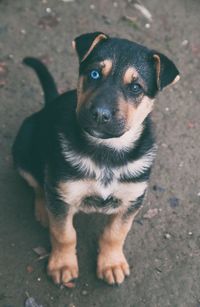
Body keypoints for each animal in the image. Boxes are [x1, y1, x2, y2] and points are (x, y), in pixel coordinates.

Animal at [11, 31, 179, 286]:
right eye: (94, 73)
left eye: (135, 87)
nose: (100, 114)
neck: (106, 152)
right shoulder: (62, 195)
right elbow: (64, 234)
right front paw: (62, 264)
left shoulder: (132, 199)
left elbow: (115, 234)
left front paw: (111, 264)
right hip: (22, 148)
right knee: (38, 184)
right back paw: (42, 210)